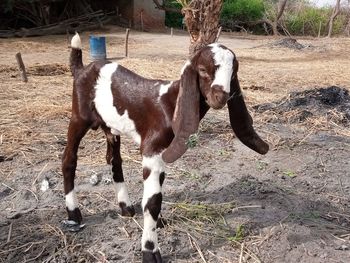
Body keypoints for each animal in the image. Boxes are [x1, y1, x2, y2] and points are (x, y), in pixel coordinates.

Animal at [62, 33, 268, 263]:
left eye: (233, 72)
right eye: (203, 70)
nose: (221, 97)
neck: (169, 102)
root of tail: (82, 69)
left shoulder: (162, 153)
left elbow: (157, 191)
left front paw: (158, 222)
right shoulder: (152, 150)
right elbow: (152, 201)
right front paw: (150, 251)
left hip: (110, 127)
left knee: (114, 160)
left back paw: (126, 207)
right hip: (78, 117)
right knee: (68, 159)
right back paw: (74, 213)